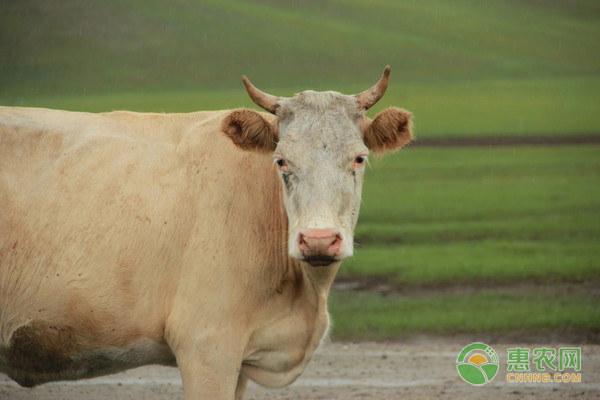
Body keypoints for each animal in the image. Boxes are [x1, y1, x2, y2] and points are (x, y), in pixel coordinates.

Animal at [0, 67, 412, 398]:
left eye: (359, 158)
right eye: (281, 161)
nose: (319, 240)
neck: (305, 294)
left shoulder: (240, 361)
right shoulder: (207, 347)